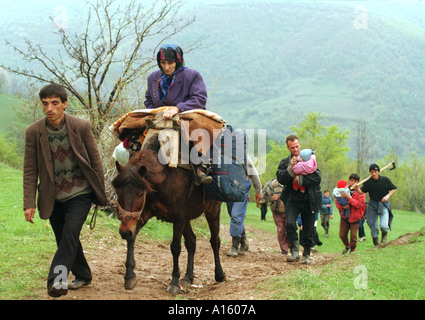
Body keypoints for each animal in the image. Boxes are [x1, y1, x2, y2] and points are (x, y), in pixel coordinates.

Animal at [112, 136, 225, 294]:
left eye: (140, 194)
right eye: (118, 192)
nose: (123, 231)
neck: (163, 178)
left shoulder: (178, 217)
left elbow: (175, 247)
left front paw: (174, 281)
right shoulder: (143, 215)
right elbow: (132, 238)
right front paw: (129, 275)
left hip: (212, 211)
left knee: (215, 241)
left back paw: (219, 274)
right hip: (187, 219)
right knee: (192, 242)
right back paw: (188, 277)